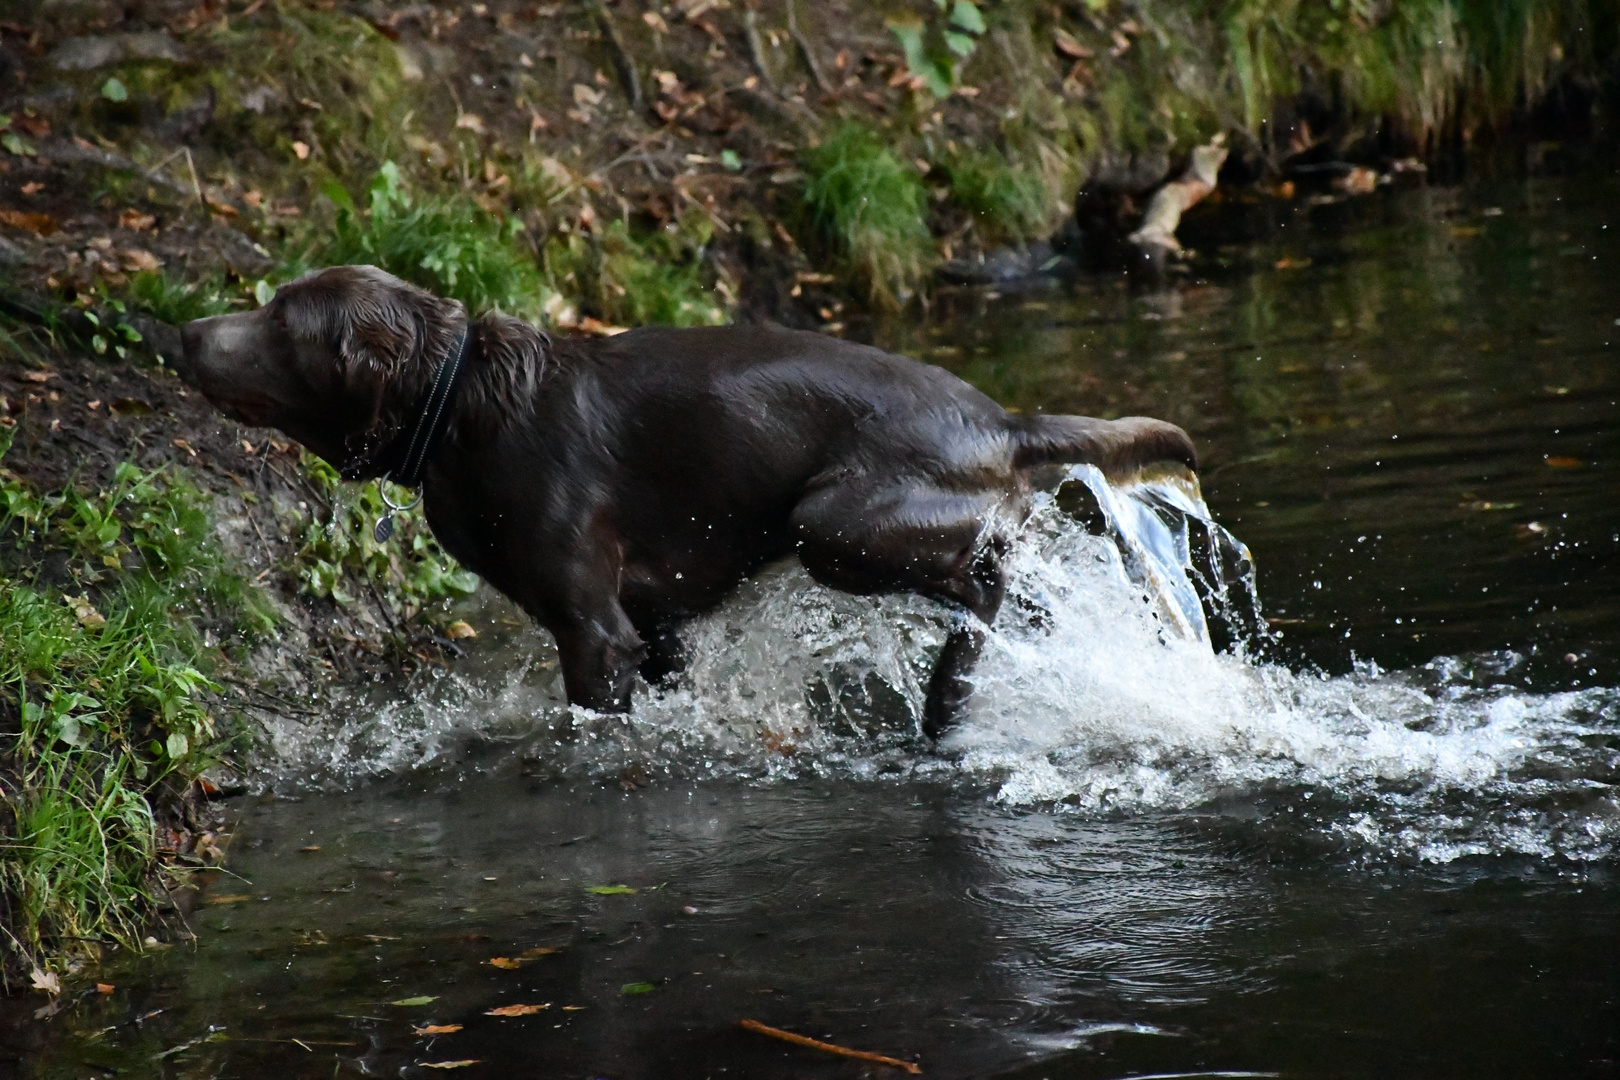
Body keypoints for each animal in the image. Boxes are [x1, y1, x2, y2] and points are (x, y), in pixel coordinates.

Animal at [180, 265, 1192, 735]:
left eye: (280, 320)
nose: (181, 331)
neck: (462, 402)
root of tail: (1002, 419)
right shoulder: (656, 621)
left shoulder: (595, 630)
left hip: (832, 525)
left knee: (985, 585)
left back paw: (949, 694)